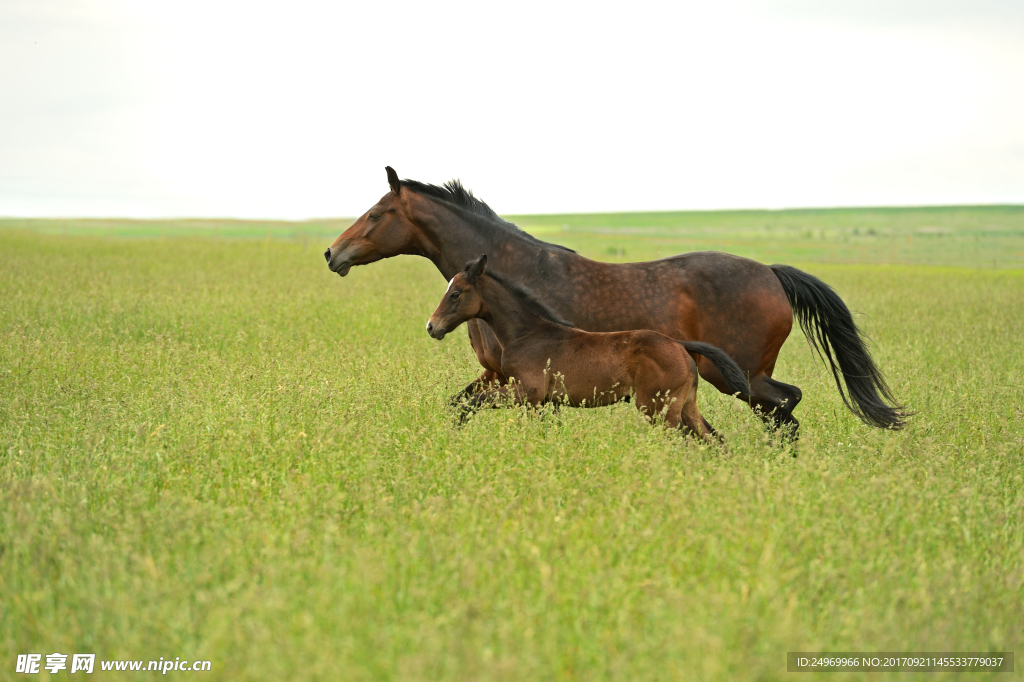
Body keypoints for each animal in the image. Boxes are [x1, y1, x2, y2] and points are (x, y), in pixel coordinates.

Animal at [423, 251, 753, 438]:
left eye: (456, 293)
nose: (431, 326)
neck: (527, 334)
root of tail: (680, 346)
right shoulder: (545, 401)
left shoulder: (527, 393)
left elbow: (474, 401)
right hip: (685, 406)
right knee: (713, 440)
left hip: (658, 409)